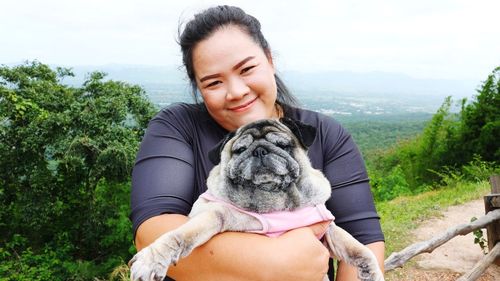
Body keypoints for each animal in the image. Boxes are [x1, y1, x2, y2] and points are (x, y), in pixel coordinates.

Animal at [128, 117, 382, 280]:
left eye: (282, 145)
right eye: (240, 150)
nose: (260, 150)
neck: (277, 199)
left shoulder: (326, 227)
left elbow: (356, 246)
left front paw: (372, 270)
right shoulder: (214, 214)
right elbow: (178, 236)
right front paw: (153, 258)